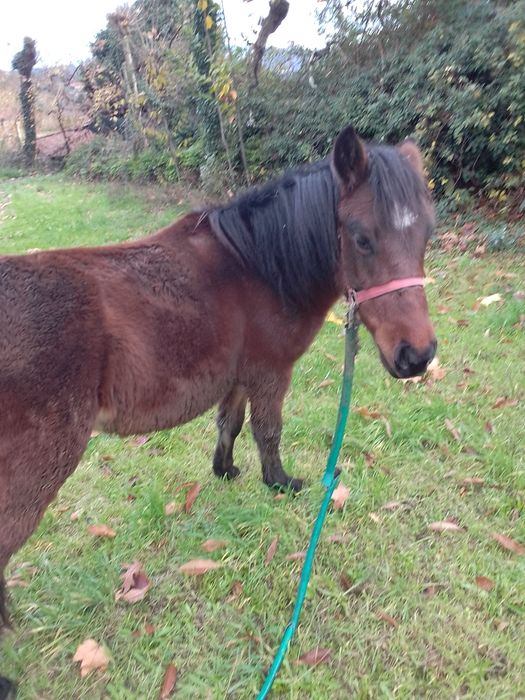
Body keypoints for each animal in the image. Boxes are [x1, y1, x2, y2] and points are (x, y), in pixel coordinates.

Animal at [0, 125, 436, 694]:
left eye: (426, 234)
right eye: (362, 237)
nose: (417, 357)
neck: (259, 265)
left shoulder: (239, 374)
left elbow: (230, 421)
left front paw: (225, 470)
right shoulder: (271, 371)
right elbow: (268, 430)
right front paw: (280, 483)